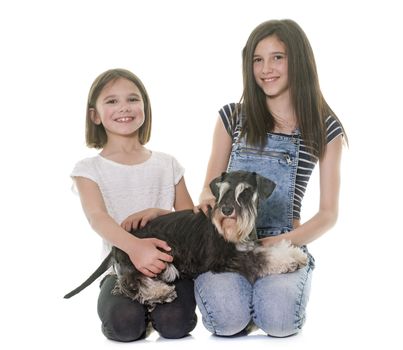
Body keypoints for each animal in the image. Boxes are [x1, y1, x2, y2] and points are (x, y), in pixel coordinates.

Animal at [64, 170, 308, 308]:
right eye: (222, 191)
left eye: (246, 191)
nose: (226, 210)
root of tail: (118, 243)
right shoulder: (224, 259)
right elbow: (260, 258)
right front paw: (288, 260)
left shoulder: (249, 246)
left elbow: (268, 249)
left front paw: (294, 253)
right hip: (146, 259)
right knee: (130, 282)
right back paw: (160, 293)